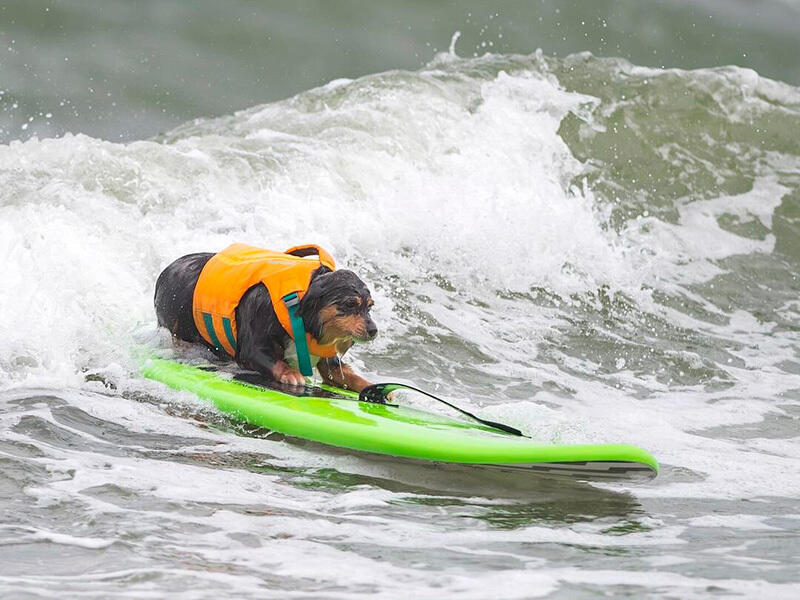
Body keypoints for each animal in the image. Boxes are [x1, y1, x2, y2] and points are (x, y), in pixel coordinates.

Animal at [154, 246, 378, 392]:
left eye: (370, 306)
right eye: (350, 304)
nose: (373, 330)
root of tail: (165, 271)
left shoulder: (328, 360)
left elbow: (346, 374)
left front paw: (374, 388)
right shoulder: (250, 348)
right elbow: (272, 361)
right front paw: (290, 373)